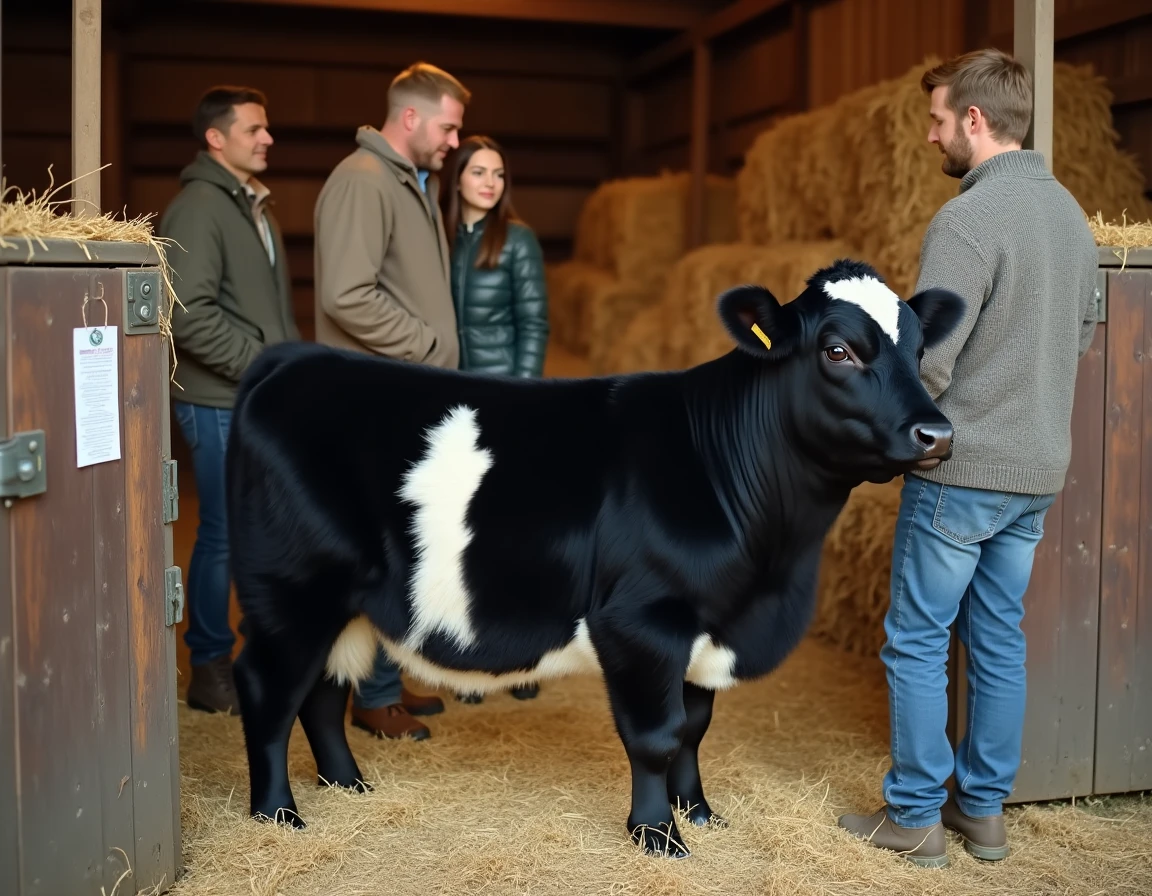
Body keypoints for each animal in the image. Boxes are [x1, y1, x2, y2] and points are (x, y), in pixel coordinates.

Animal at [224, 258, 964, 860]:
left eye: (919, 349)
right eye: (838, 350)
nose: (936, 433)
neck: (772, 573)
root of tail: (291, 360)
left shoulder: (709, 619)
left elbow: (695, 728)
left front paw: (699, 812)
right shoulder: (643, 621)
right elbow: (658, 734)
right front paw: (658, 834)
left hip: (338, 602)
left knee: (323, 691)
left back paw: (348, 786)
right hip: (289, 590)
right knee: (269, 687)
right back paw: (278, 813)